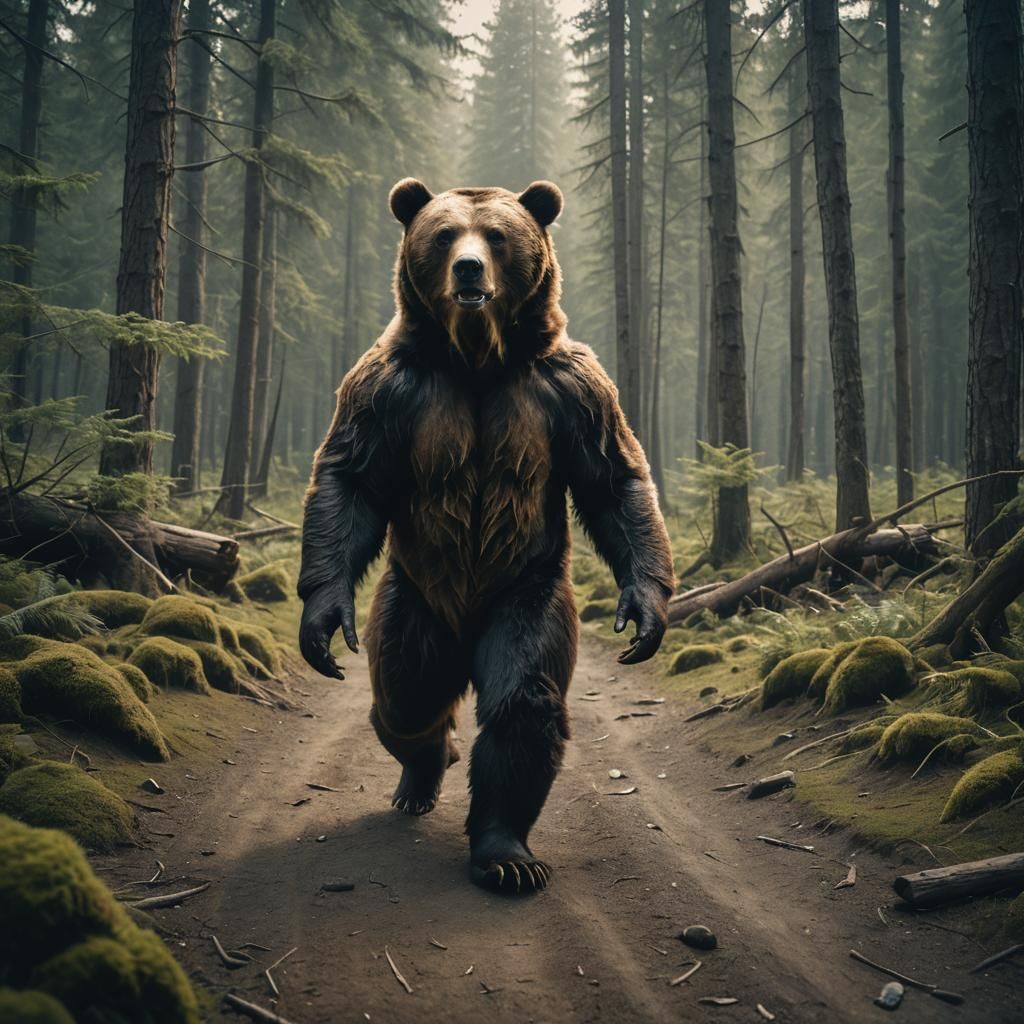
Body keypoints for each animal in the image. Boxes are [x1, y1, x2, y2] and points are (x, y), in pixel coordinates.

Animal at [298, 178, 674, 894]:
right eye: (444, 234)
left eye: (497, 236)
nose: (469, 270)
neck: (475, 357)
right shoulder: (391, 386)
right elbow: (351, 476)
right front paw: (323, 621)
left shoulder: (569, 389)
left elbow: (613, 477)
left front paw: (645, 612)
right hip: (415, 599)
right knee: (406, 692)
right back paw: (423, 770)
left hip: (521, 586)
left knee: (520, 699)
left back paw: (506, 853)